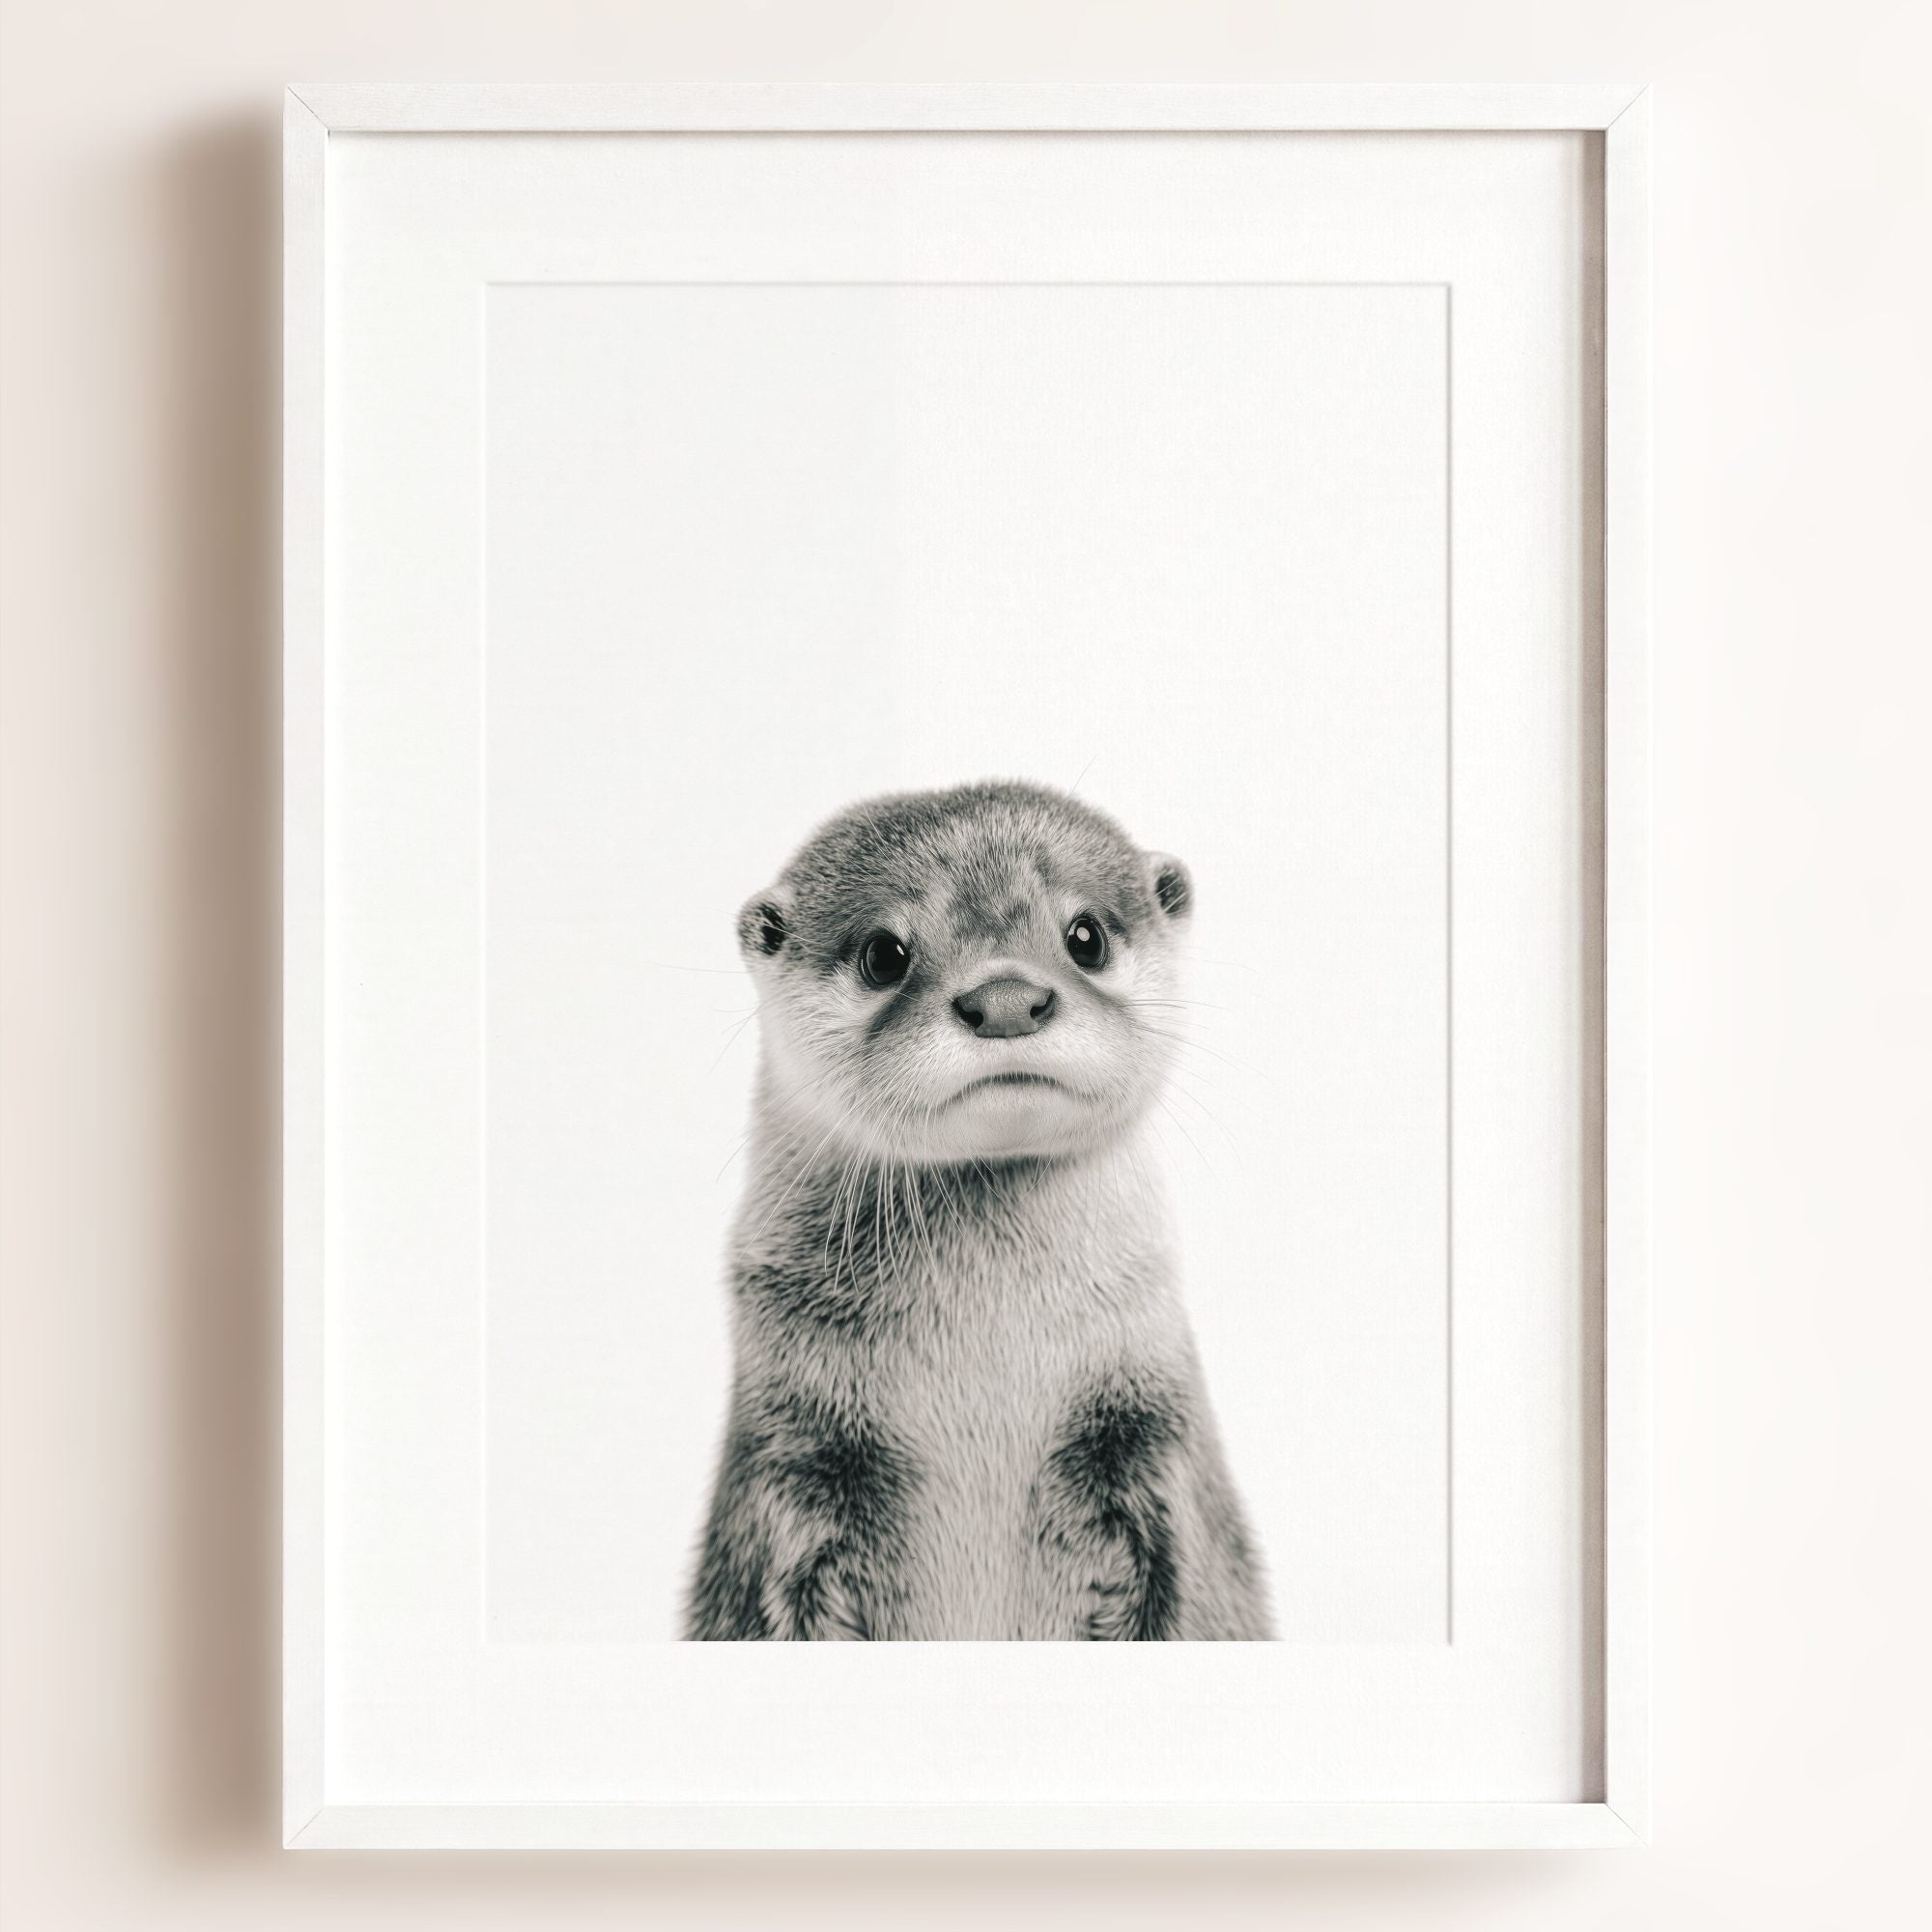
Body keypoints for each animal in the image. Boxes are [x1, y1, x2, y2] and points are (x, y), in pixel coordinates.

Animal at [685, 779, 1272, 1640]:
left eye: (1086, 936)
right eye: (884, 954)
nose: (1006, 999)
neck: (988, 1355)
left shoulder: (1156, 1443)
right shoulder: (788, 1456)